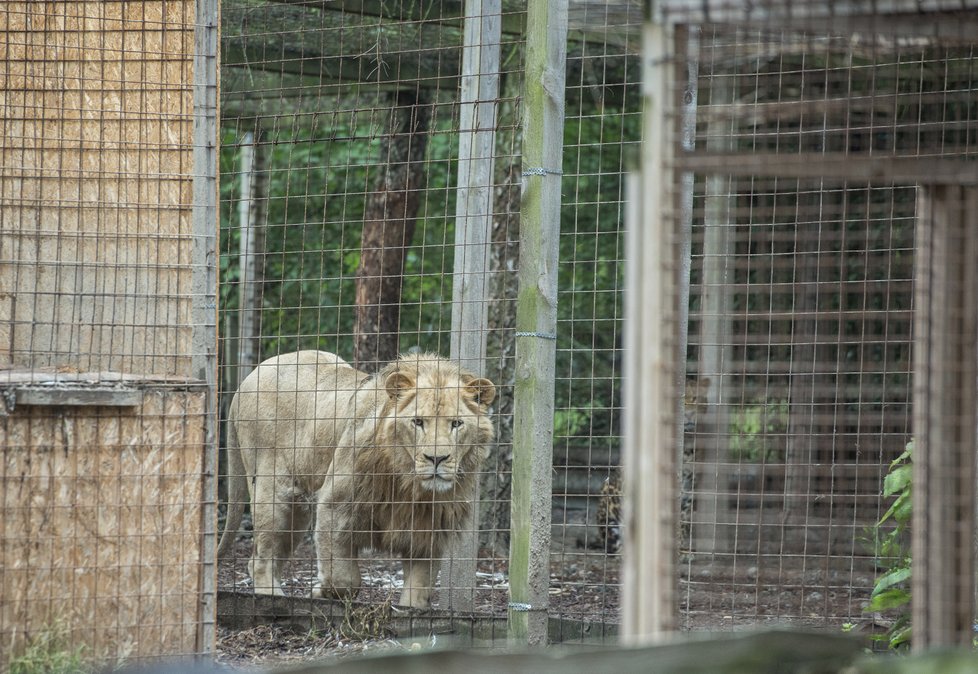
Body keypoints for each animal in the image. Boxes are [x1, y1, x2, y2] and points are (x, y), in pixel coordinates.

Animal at [221, 350, 496, 608]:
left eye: (456, 424)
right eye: (418, 422)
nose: (436, 458)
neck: (410, 487)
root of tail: (248, 378)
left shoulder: (427, 530)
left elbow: (417, 593)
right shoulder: (335, 506)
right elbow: (344, 579)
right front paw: (320, 593)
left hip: (296, 512)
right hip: (272, 492)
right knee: (261, 559)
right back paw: (273, 599)